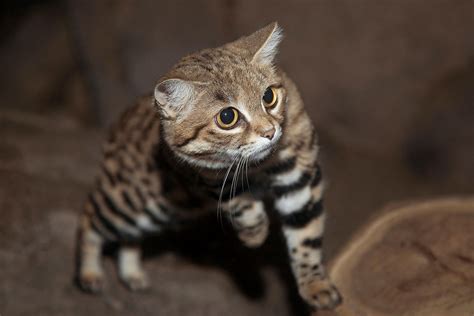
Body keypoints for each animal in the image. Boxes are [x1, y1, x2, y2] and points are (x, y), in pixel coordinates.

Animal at [77, 22, 340, 312]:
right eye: (227, 116)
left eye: (269, 96)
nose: (271, 133)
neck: (258, 166)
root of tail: (115, 127)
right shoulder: (209, 179)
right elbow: (241, 204)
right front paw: (255, 235)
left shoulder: (299, 176)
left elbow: (306, 235)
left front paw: (316, 287)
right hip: (131, 202)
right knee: (89, 215)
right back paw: (89, 274)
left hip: (158, 213)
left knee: (127, 236)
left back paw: (132, 273)